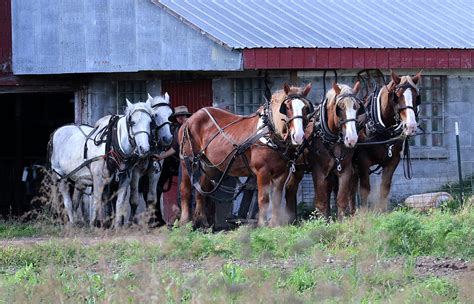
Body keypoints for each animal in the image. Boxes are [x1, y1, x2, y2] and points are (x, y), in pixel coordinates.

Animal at [178, 83, 314, 228]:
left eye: (305, 108)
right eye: (287, 107)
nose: (298, 136)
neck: (269, 132)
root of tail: (189, 120)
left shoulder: (281, 173)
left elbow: (276, 199)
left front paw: (274, 225)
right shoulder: (262, 171)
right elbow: (263, 199)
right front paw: (262, 224)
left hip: (208, 164)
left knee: (201, 190)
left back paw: (203, 223)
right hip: (188, 162)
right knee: (186, 190)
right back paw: (184, 222)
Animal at [286, 81, 362, 221]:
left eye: (357, 107)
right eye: (340, 107)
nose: (352, 138)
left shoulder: (345, 170)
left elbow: (341, 199)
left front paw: (340, 221)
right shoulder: (319, 171)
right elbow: (321, 202)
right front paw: (322, 222)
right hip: (297, 168)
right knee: (290, 188)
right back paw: (292, 219)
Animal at [352, 70, 422, 211]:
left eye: (416, 96)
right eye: (397, 96)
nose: (411, 126)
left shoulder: (392, 161)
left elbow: (384, 188)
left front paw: (381, 212)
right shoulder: (363, 161)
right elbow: (365, 189)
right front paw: (364, 213)